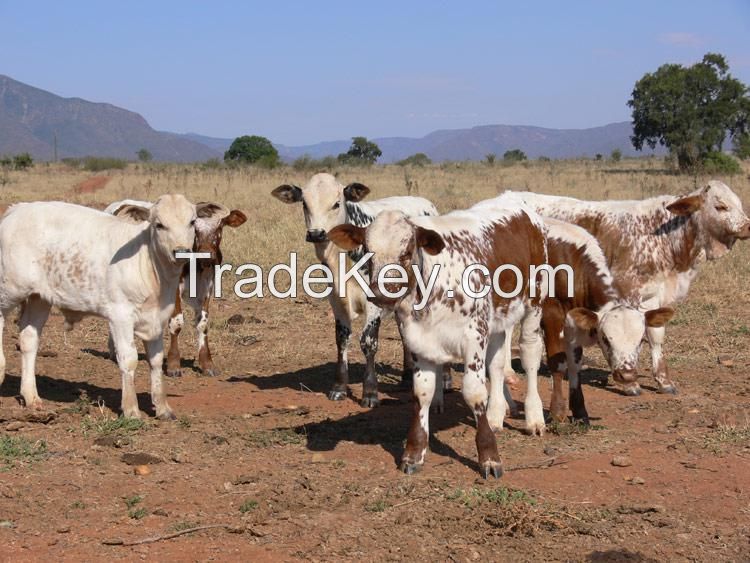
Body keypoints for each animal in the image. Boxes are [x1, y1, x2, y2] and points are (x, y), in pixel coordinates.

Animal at [0, 195, 201, 418]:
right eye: (159, 225)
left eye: (192, 222)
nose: (182, 252)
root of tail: (18, 209)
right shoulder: (120, 316)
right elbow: (128, 359)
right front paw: (131, 409)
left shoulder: (156, 319)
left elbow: (155, 361)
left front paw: (162, 407)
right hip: (10, 289)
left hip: (39, 298)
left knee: (29, 340)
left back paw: (31, 397)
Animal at [106, 198, 248, 378]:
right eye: (195, 228)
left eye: (220, 227)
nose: (207, 255)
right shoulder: (174, 289)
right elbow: (177, 323)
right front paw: (174, 364)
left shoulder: (207, 287)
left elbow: (203, 324)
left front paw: (207, 363)